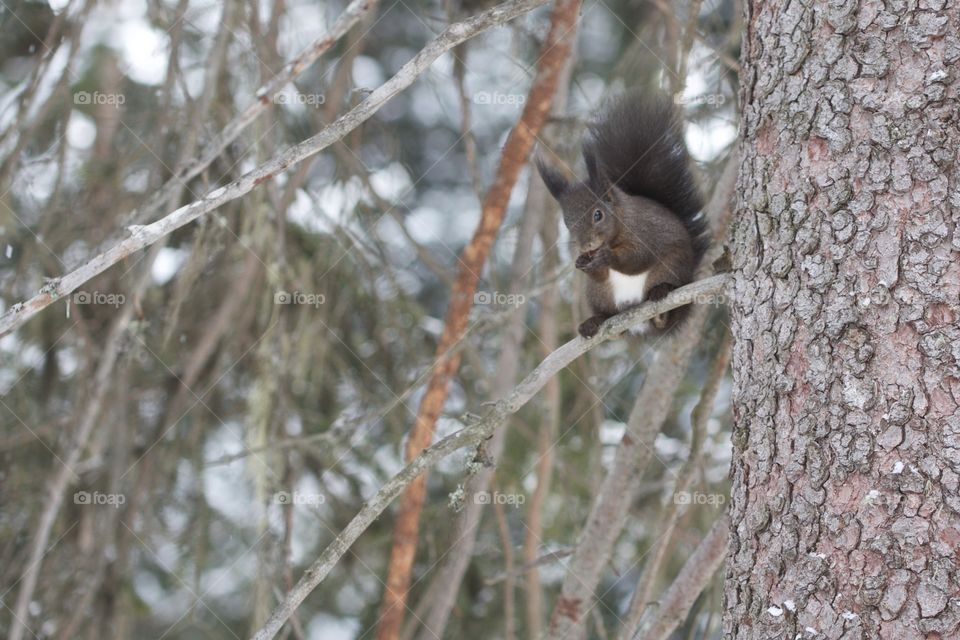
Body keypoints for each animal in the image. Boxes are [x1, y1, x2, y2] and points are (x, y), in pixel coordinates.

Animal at [537, 91, 709, 339]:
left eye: (598, 215)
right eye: (566, 222)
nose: (585, 246)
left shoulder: (645, 232)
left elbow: (638, 258)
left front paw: (608, 257)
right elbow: (599, 272)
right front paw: (581, 262)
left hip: (673, 266)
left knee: (665, 314)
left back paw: (661, 301)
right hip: (598, 294)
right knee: (610, 320)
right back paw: (594, 322)